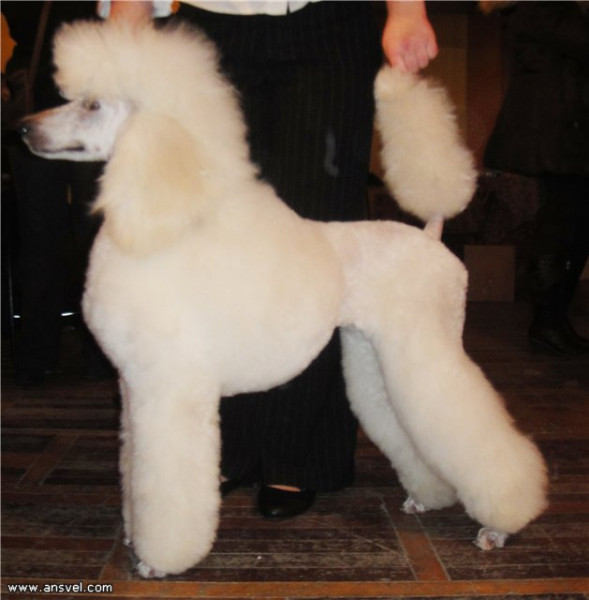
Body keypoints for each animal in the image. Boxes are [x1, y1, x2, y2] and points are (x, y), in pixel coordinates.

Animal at [20, 20, 547, 578]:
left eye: (92, 105)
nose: (25, 129)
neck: (155, 220)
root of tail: (431, 235)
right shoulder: (134, 388)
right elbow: (133, 471)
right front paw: (132, 534)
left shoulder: (170, 385)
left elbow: (167, 486)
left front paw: (159, 560)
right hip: (375, 355)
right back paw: (431, 496)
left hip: (425, 344)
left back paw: (502, 523)